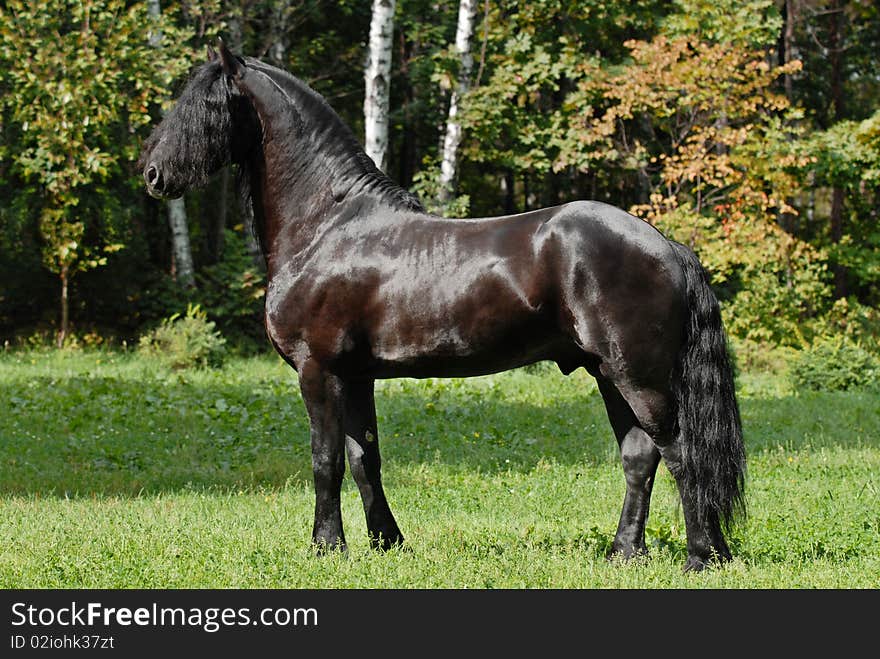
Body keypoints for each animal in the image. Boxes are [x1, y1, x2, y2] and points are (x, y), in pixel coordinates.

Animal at [141, 41, 744, 572]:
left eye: (203, 104)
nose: (152, 173)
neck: (327, 227)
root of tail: (665, 243)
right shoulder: (356, 376)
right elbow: (364, 459)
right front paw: (387, 544)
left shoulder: (320, 370)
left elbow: (325, 459)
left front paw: (326, 548)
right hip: (609, 374)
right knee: (640, 456)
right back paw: (626, 554)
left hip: (639, 377)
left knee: (682, 454)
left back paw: (699, 557)